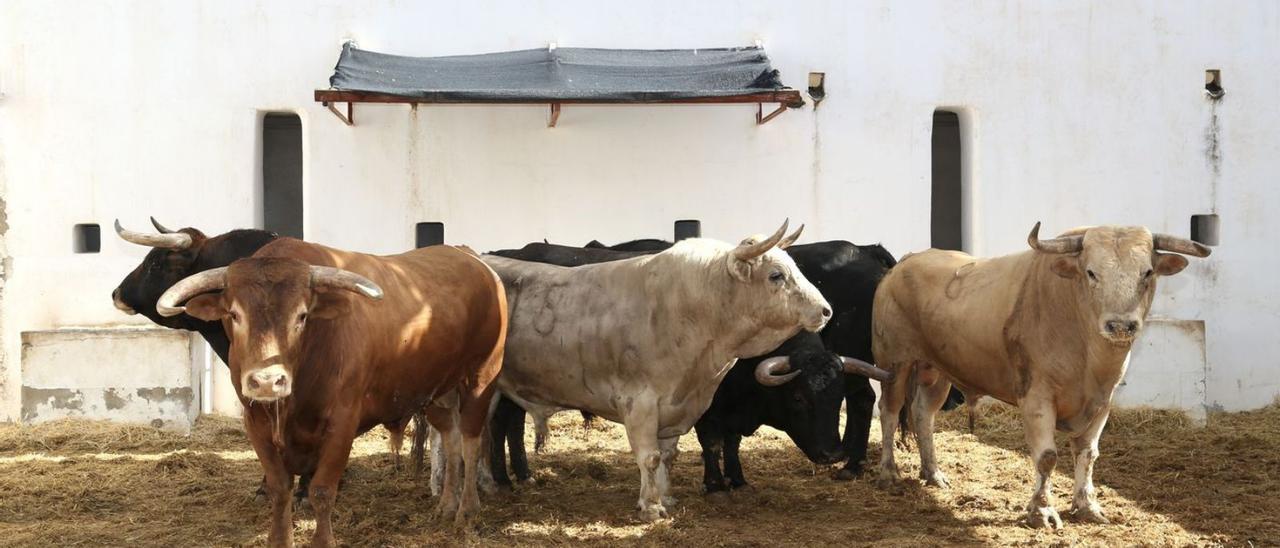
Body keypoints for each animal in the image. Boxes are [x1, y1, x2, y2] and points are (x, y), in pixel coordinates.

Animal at [154, 240, 504, 548]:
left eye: (302, 316)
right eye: (235, 314)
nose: (267, 382)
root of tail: (474, 260)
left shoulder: (342, 425)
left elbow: (322, 491)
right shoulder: (256, 422)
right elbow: (279, 489)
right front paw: (279, 539)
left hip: (481, 376)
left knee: (471, 439)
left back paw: (467, 508)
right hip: (436, 389)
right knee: (451, 435)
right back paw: (447, 504)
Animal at [870, 221, 1208, 527]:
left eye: (1147, 273)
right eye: (1091, 273)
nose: (1121, 325)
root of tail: (904, 263)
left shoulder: (1103, 402)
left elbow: (1088, 453)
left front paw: (1087, 506)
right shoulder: (1037, 397)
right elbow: (1047, 456)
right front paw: (1042, 511)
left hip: (935, 370)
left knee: (923, 413)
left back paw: (933, 473)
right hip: (894, 363)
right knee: (889, 411)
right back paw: (889, 473)